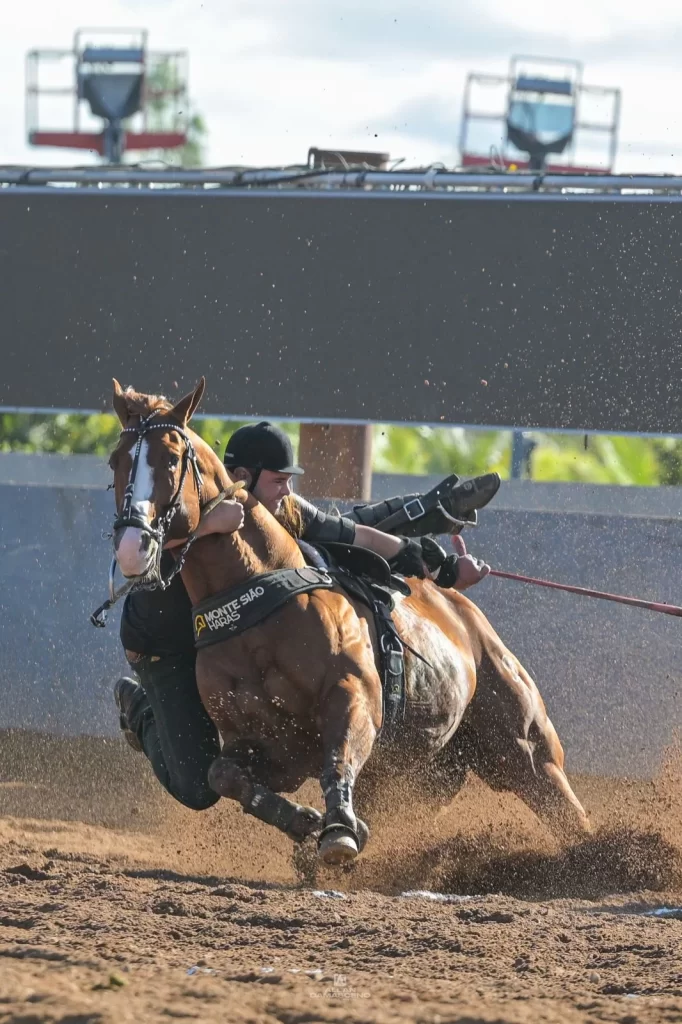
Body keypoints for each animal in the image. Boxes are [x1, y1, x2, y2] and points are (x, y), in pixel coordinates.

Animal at [107, 378, 590, 866]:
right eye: (116, 461)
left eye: (170, 458)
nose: (132, 545)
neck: (257, 603)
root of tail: (467, 616)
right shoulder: (269, 746)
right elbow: (221, 775)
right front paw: (306, 822)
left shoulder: (352, 699)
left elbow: (338, 758)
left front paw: (338, 830)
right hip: (429, 774)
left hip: (525, 746)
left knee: (567, 809)